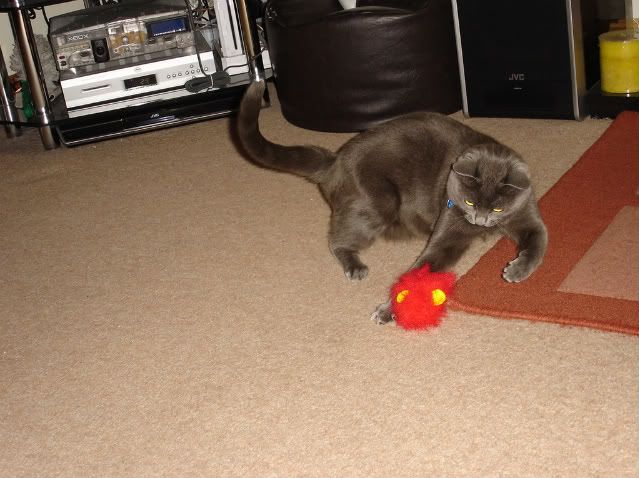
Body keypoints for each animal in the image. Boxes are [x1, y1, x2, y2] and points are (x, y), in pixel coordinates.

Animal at [238, 81, 548, 324]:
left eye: (497, 208)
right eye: (469, 201)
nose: (480, 221)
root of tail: (335, 162)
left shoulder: (525, 212)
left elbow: (539, 240)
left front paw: (517, 270)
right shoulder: (449, 225)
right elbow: (421, 270)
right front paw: (390, 309)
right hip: (379, 202)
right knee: (337, 240)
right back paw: (355, 266)